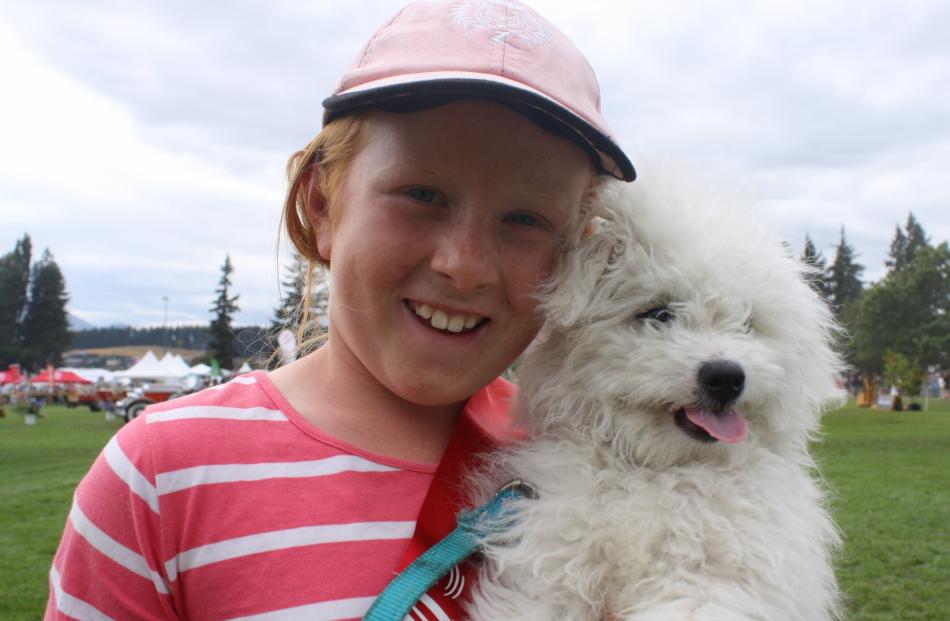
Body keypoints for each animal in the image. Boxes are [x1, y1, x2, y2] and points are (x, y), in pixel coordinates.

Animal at [468, 165, 848, 620]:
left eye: (747, 324)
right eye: (658, 313)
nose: (726, 376)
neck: (658, 474)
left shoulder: (718, 583)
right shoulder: (550, 565)